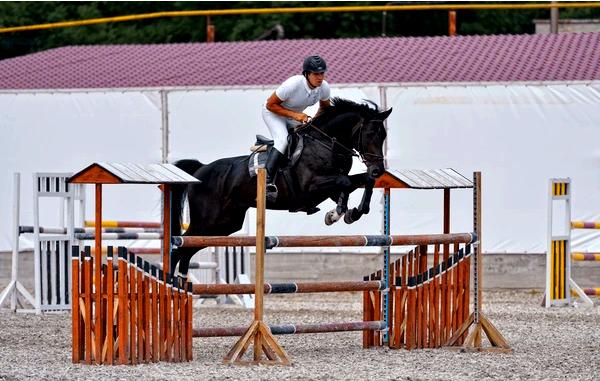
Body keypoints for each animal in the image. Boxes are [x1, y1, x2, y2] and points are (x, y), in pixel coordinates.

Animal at [171, 98, 392, 276]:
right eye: (370, 134)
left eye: (383, 136)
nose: (378, 170)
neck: (326, 143)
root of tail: (200, 170)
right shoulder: (310, 187)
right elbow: (345, 183)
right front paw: (336, 214)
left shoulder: (330, 188)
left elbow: (361, 183)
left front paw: (352, 212)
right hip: (207, 221)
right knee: (179, 247)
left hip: (225, 223)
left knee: (187, 251)